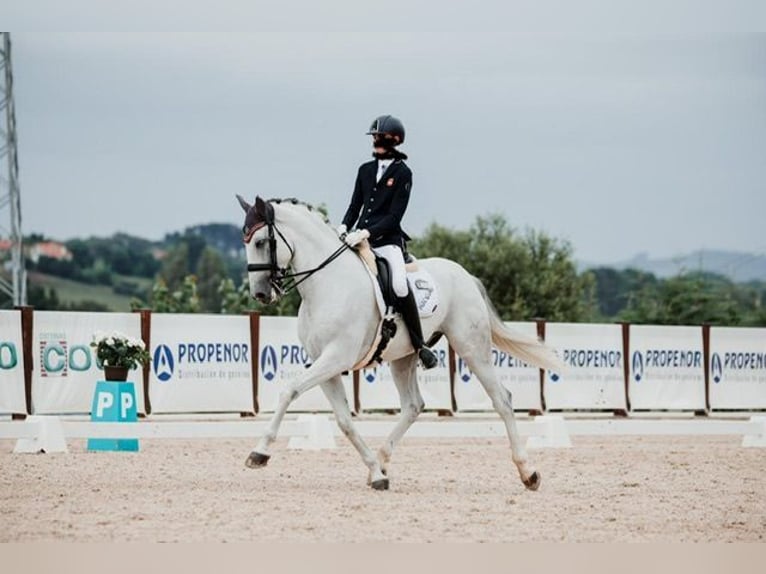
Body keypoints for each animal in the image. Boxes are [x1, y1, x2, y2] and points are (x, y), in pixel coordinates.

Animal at [237, 196, 568, 492]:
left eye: (261, 242)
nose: (261, 294)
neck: (327, 284)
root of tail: (465, 275)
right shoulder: (324, 363)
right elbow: (344, 420)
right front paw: (375, 472)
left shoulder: (336, 357)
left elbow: (289, 391)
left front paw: (259, 452)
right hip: (403, 357)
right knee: (413, 405)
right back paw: (382, 461)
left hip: (472, 346)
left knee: (502, 398)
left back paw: (529, 472)